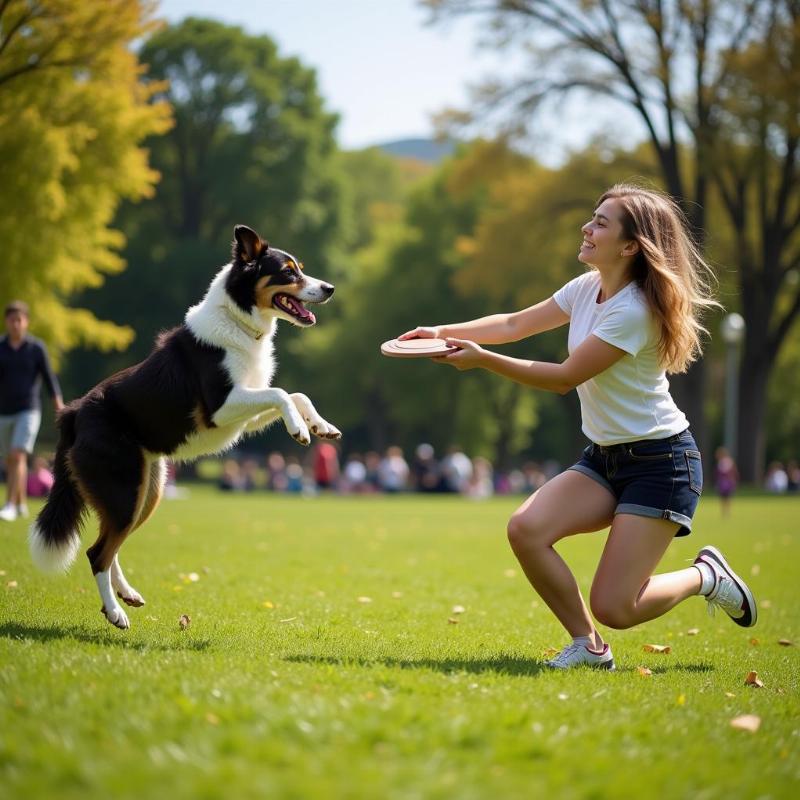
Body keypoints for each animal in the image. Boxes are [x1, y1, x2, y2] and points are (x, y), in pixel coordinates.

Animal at [28, 227, 338, 632]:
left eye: (301, 268)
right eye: (288, 272)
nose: (330, 288)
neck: (239, 321)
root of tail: (75, 411)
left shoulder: (245, 411)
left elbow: (295, 394)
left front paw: (320, 425)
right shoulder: (221, 407)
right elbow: (282, 392)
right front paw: (300, 429)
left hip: (146, 492)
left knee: (110, 546)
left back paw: (126, 595)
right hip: (124, 489)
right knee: (97, 552)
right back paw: (116, 613)